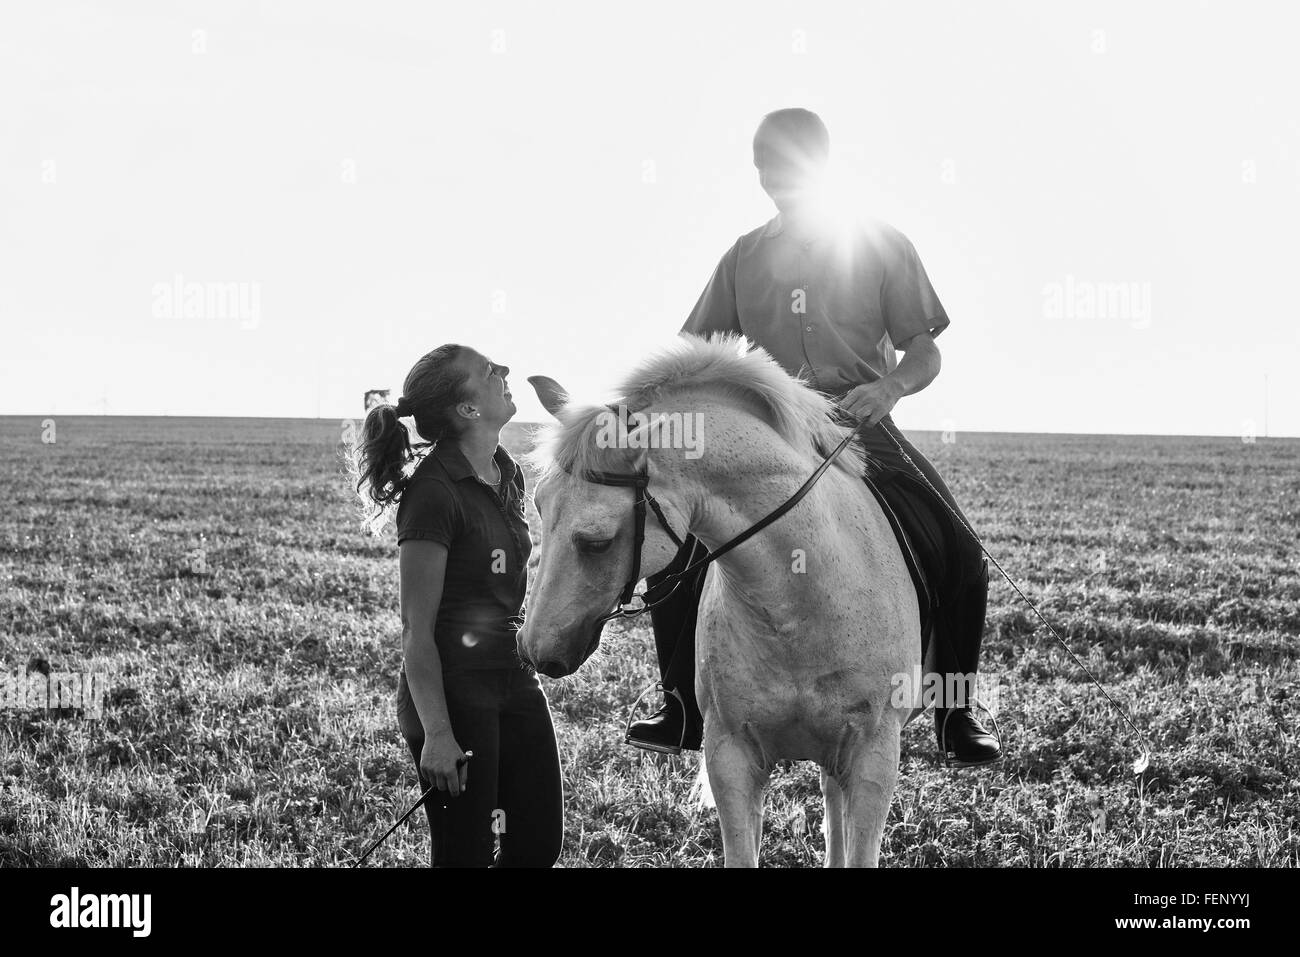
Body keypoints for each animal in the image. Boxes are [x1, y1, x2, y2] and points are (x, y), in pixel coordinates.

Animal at [512, 335, 930, 868]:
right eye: (538, 506)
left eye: (596, 542)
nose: (534, 649)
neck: (796, 607)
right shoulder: (731, 754)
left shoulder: (875, 754)